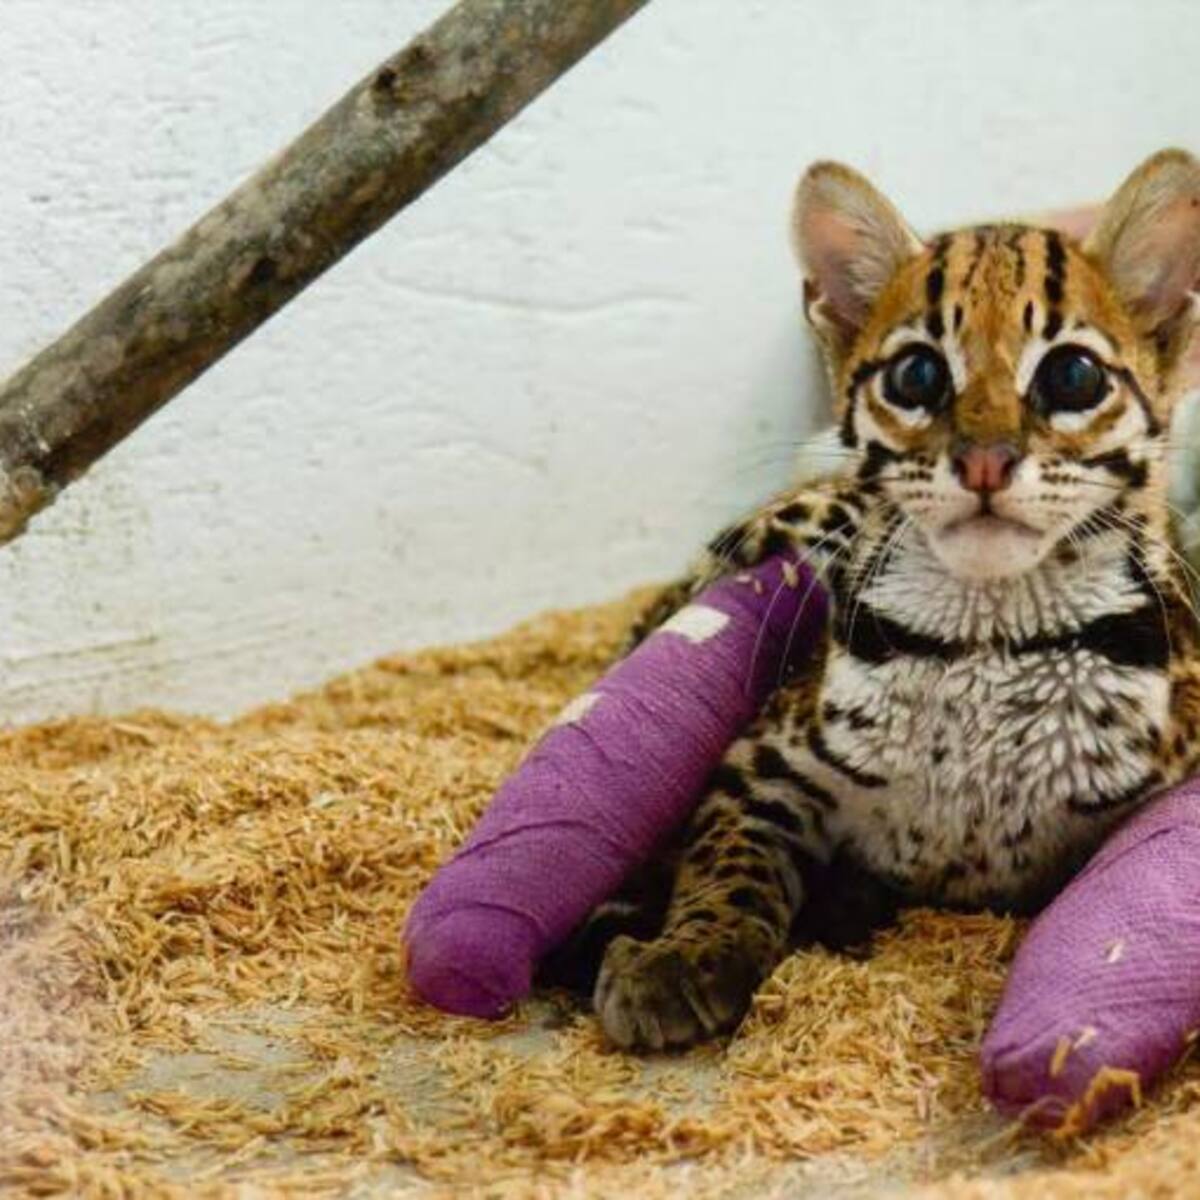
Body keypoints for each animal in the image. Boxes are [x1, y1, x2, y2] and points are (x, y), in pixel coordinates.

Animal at [542, 148, 1200, 1052]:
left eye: (1072, 375)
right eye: (917, 373)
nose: (985, 461)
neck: (990, 634)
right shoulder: (761, 759)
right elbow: (727, 863)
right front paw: (688, 950)